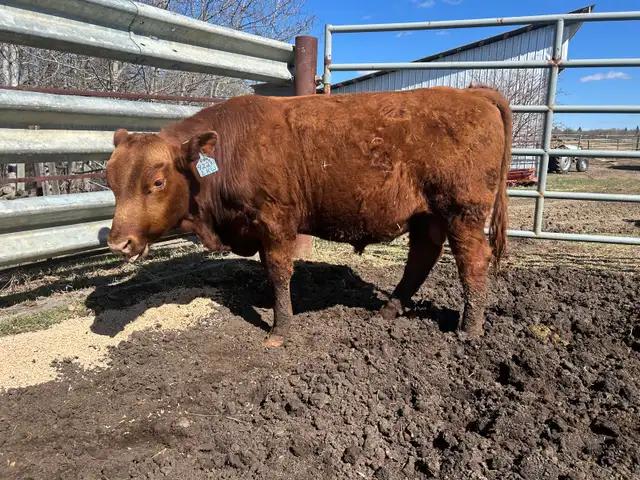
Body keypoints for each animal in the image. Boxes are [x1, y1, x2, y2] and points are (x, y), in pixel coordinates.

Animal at [105, 86, 511, 347]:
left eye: (157, 182)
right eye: (109, 180)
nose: (118, 243)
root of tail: (473, 93)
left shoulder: (276, 220)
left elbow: (279, 271)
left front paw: (280, 330)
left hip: (462, 211)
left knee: (472, 261)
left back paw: (469, 330)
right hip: (427, 216)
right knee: (422, 258)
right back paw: (389, 311)